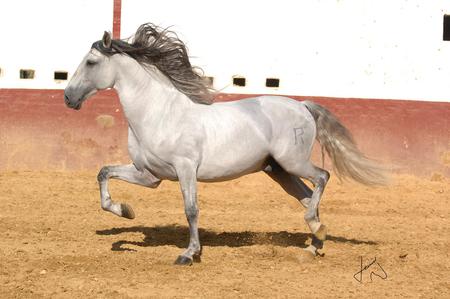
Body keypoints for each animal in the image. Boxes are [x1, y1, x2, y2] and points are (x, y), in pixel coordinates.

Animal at [63, 24, 386, 268]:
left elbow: (191, 210)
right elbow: (104, 173)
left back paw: (316, 231)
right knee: (308, 197)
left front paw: (188, 254)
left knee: (322, 177)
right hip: (278, 171)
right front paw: (125, 211)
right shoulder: (149, 175)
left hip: (292, 162)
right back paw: (314, 244)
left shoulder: (185, 168)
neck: (160, 113)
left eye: (91, 62)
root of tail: (302, 105)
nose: (68, 97)